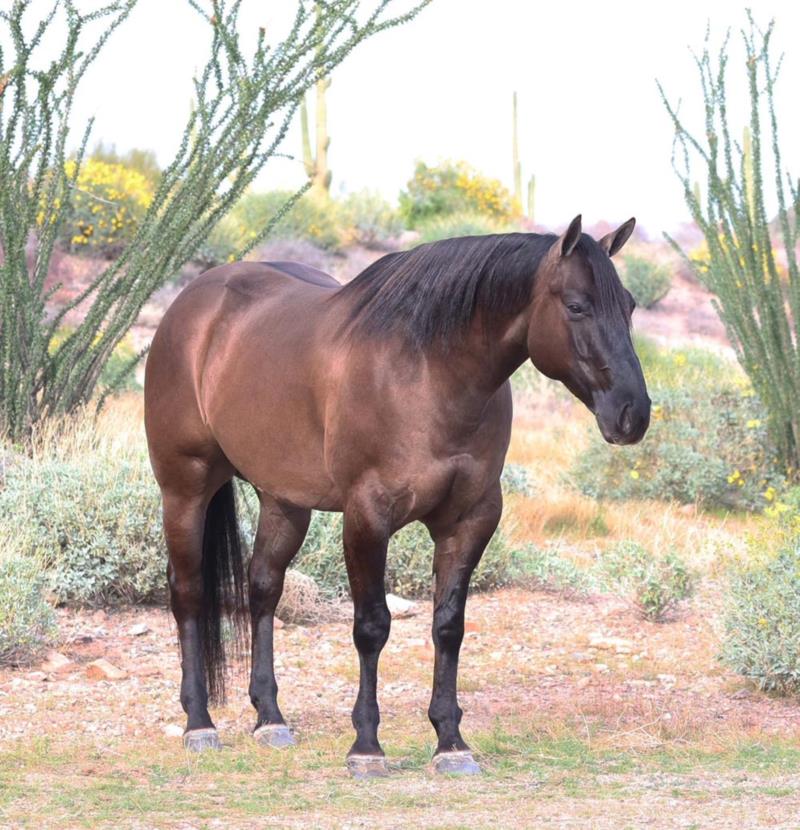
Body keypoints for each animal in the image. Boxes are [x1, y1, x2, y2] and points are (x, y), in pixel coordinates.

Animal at [143, 214, 650, 777]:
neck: (428, 373)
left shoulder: (471, 520)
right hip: (185, 486)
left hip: (285, 502)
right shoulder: (367, 516)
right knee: (188, 593)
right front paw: (366, 746)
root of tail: (194, 301)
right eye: (577, 306)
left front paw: (451, 742)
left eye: (629, 305)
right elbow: (372, 626)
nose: (633, 414)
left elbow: (448, 627)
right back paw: (199, 724)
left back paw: (270, 719)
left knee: (263, 589)